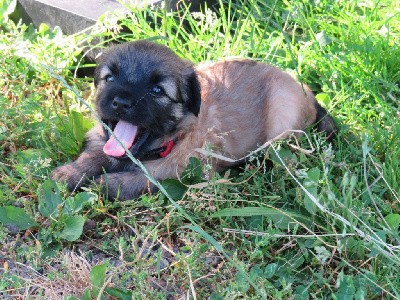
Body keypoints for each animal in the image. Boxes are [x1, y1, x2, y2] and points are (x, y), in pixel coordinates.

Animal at [51, 39, 336, 199]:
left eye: (157, 90)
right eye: (109, 78)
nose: (120, 102)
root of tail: (306, 92)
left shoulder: (184, 174)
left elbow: (145, 180)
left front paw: (103, 185)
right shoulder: (103, 141)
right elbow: (94, 155)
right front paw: (70, 173)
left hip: (282, 116)